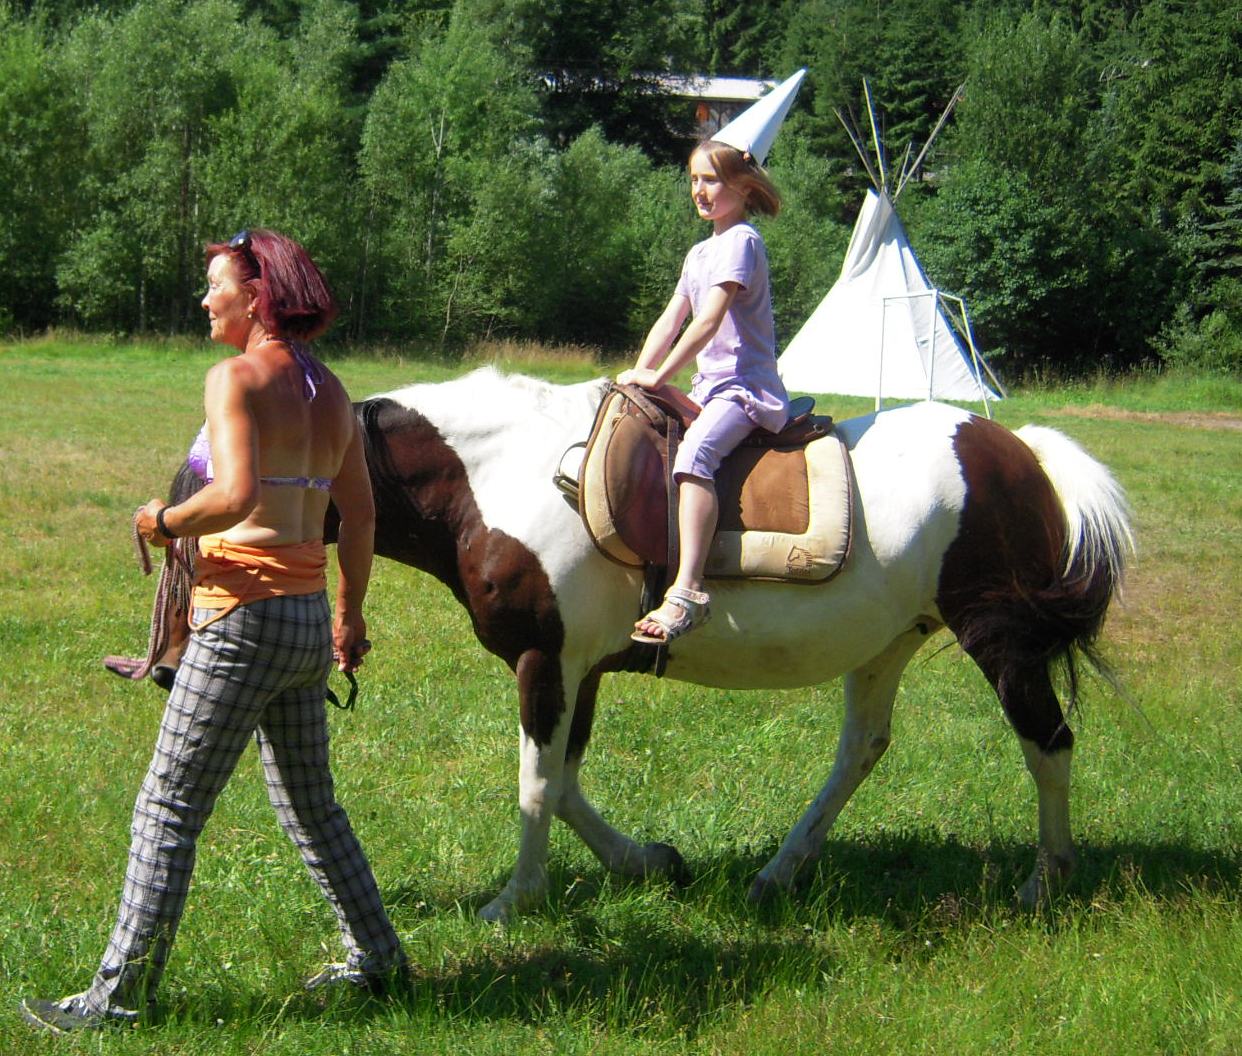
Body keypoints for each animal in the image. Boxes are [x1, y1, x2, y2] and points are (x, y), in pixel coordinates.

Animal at [136, 367, 1134, 923]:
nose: (167, 666)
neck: (496, 476)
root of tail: (1017, 450)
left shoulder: (547, 662)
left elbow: (539, 783)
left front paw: (515, 902)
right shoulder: (581, 669)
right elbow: (569, 781)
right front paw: (649, 862)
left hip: (998, 639)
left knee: (1048, 743)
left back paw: (1045, 882)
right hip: (886, 642)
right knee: (862, 750)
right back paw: (780, 871)